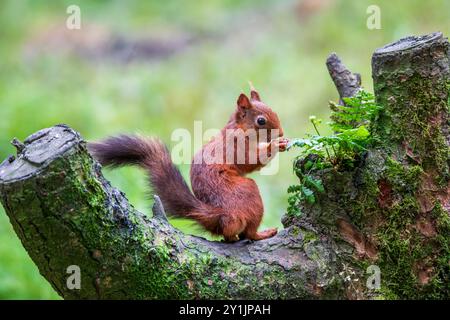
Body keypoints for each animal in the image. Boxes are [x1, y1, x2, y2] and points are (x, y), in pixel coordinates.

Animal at [89, 86, 288, 241]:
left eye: (274, 111)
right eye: (260, 121)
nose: (281, 133)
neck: (239, 129)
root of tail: (219, 215)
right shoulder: (236, 146)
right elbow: (251, 161)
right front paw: (276, 144)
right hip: (247, 195)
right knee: (247, 233)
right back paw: (261, 234)